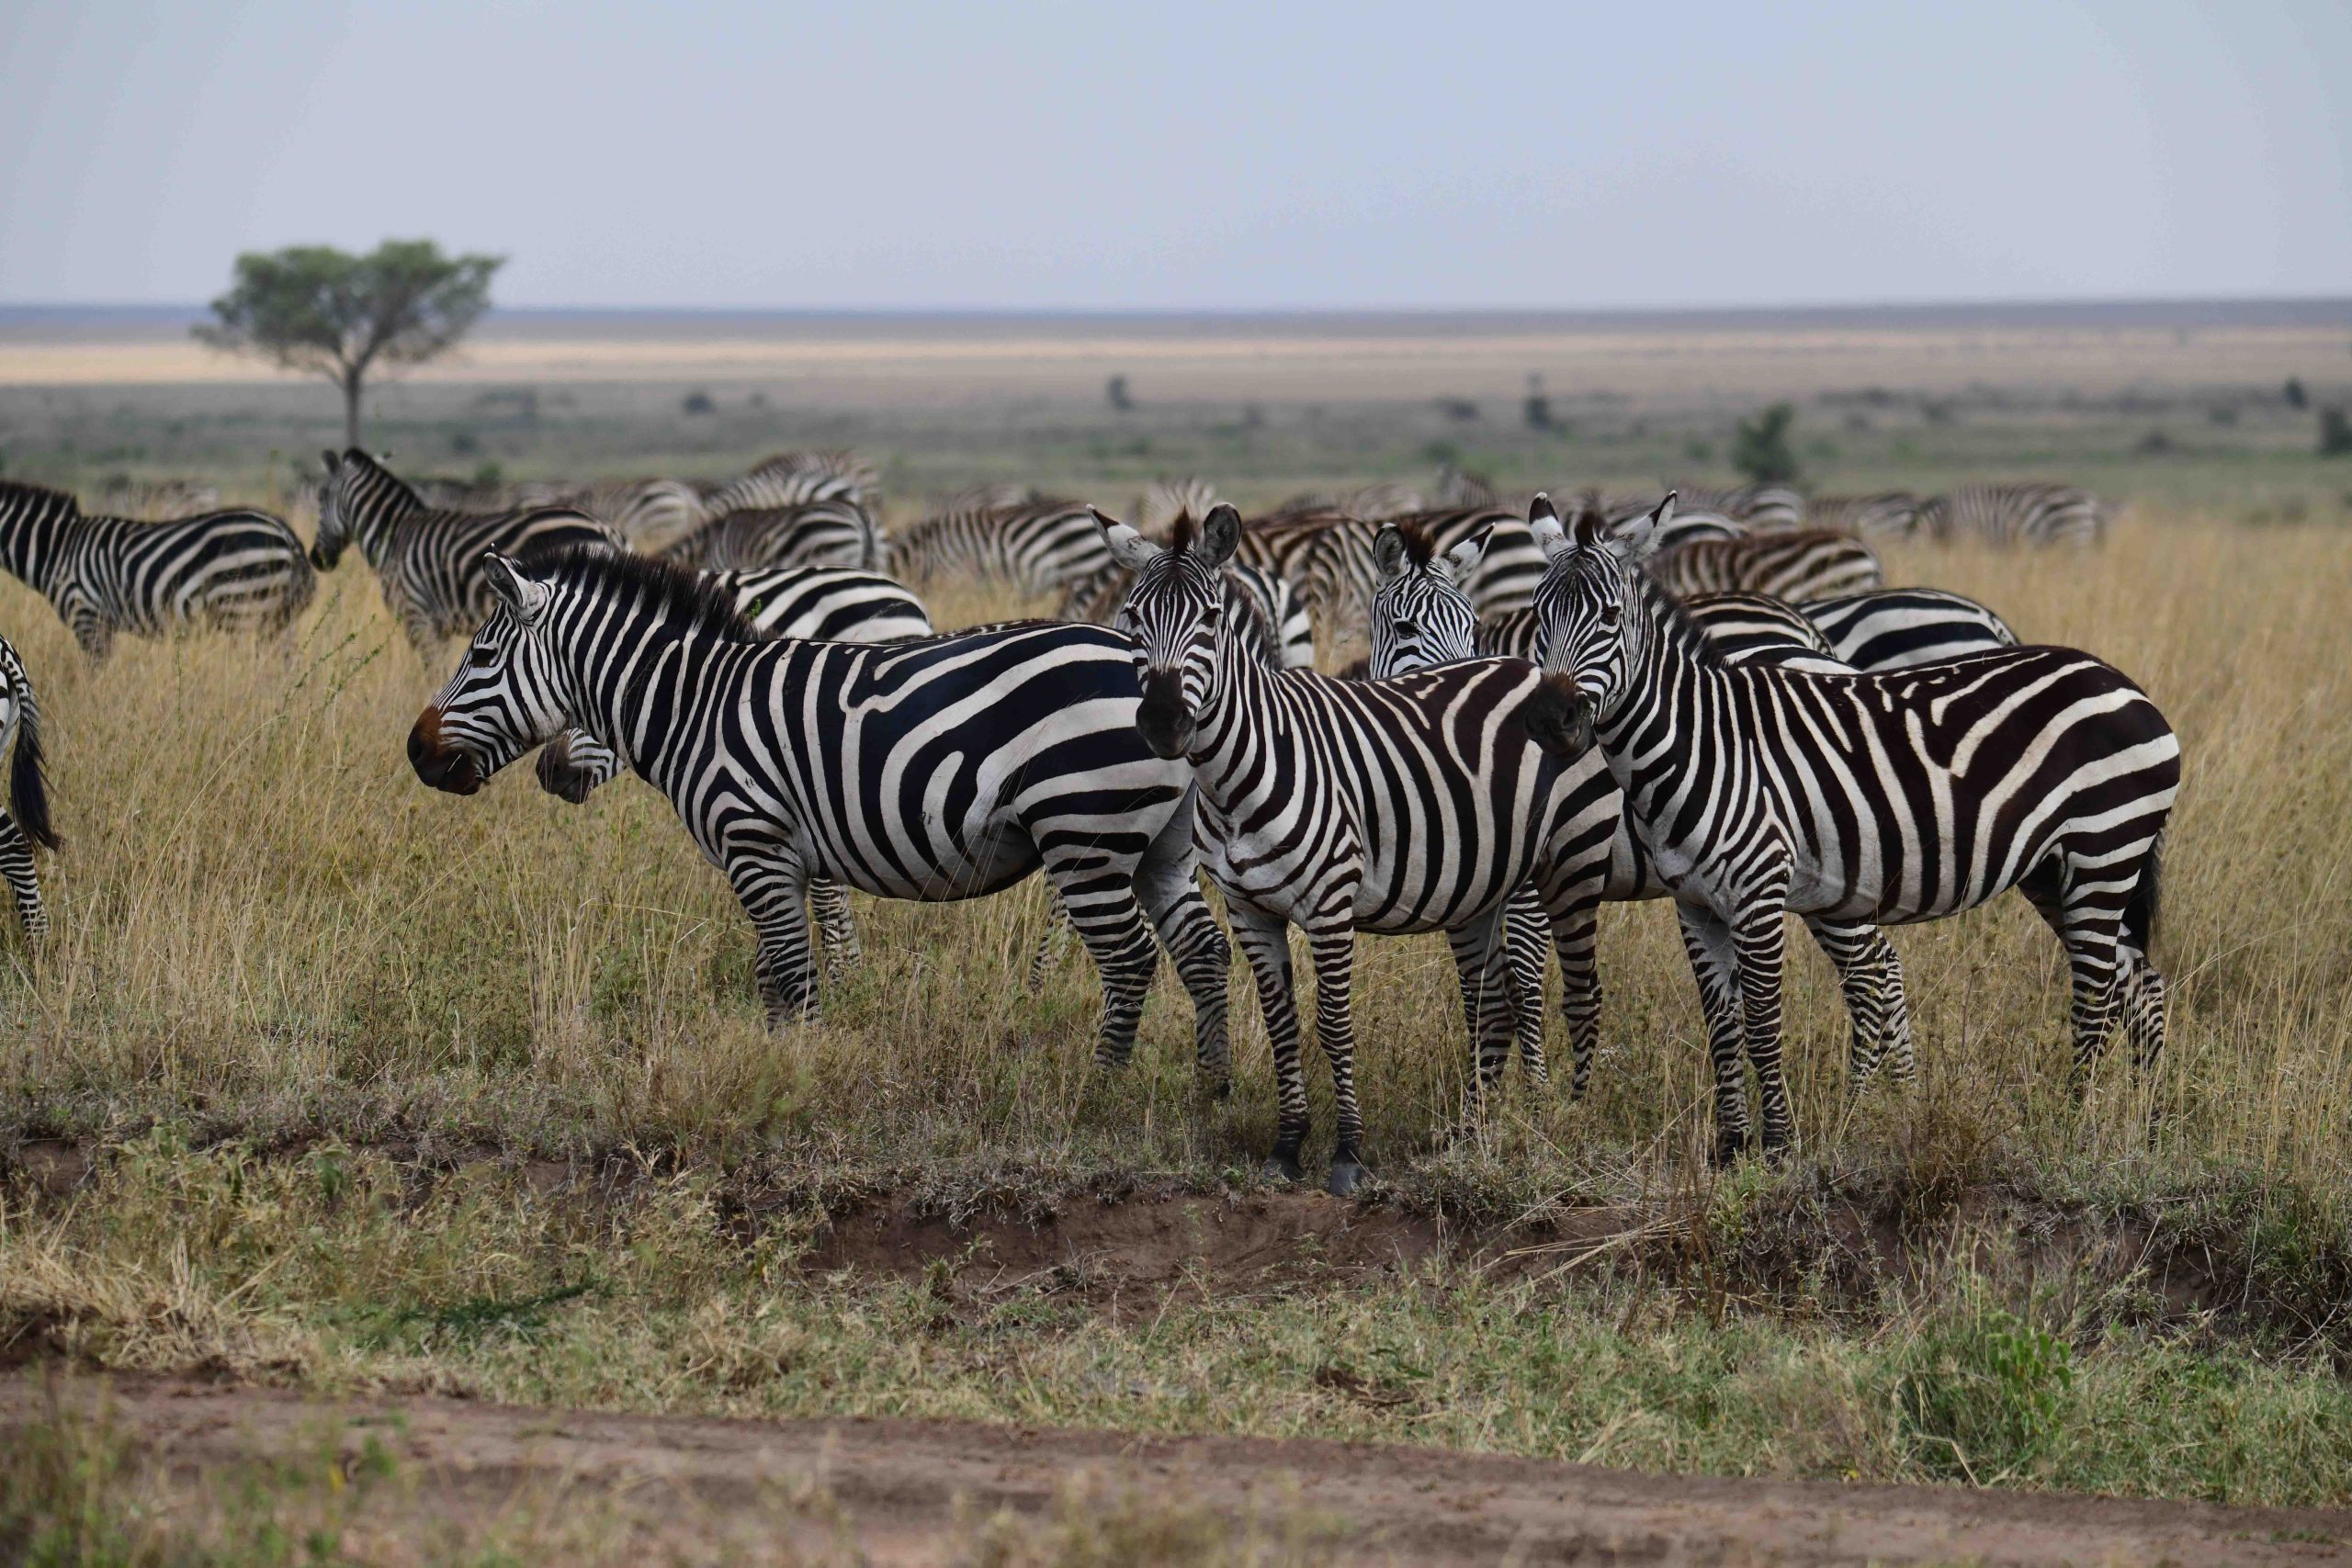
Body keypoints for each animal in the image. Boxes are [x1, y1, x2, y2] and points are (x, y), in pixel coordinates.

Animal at [0, 480, 315, 659]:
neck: (57, 548)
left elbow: (94, 675)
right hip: (277, 616)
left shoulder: (87, 616)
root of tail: (285, 532)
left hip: (242, 608)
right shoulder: (101, 623)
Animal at [312, 450, 621, 654]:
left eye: (321, 497)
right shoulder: (437, 626)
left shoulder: (418, 616)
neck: (394, 536)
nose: (317, 558)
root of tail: (606, 528)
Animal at [410, 548, 1233, 1087]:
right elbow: (773, 975)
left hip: (1084, 833)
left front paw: (797, 1076)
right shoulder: (786, 857)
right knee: (1202, 949)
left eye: (481, 656)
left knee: (1130, 959)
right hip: (1158, 844)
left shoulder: (755, 844)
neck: (695, 705)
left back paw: (1102, 1089)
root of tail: (1160, 678)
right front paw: (777, 1060)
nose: (417, 751)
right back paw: (1211, 1086)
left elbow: (793, 974)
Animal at [1097, 505, 1600, 1193]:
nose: (1163, 721)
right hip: (1479, 887)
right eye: (1132, 617)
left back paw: (1551, 1110)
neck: (1241, 771)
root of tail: (1530, 668)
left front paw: (1347, 1154)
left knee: (1554, 987)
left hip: (1560, 868)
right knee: (1492, 998)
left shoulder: (1331, 905)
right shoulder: (1249, 909)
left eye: (1211, 617)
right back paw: (1475, 1127)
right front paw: (1287, 1146)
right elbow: (1281, 1023)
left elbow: (1334, 1025)